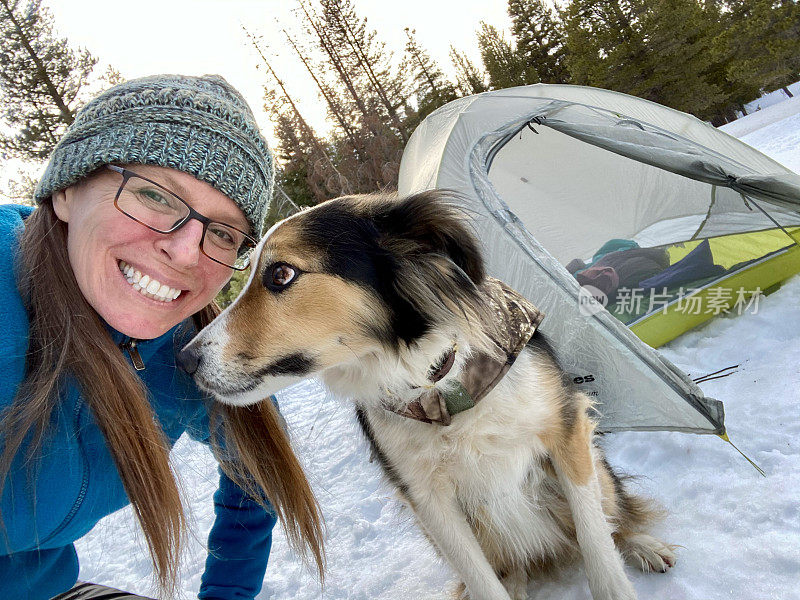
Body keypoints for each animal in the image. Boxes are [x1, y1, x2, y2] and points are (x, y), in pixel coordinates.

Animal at [180, 192, 676, 600]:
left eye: (281, 274)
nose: (184, 361)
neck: (437, 386)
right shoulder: (428, 501)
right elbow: (483, 582)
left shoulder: (566, 431)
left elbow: (596, 542)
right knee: (508, 568)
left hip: (596, 470)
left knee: (616, 514)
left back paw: (643, 545)